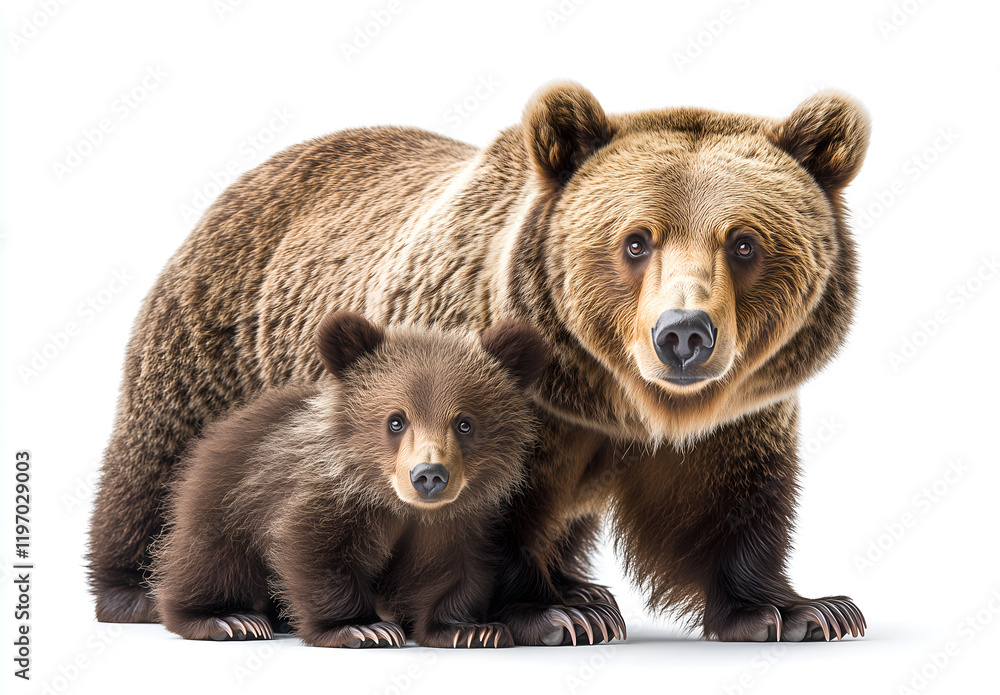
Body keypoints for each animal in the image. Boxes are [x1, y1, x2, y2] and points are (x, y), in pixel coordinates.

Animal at [150, 311, 557, 648]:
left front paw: (471, 629)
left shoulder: (456, 522)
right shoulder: (326, 499)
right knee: (212, 559)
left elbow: (454, 570)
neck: (397, 504)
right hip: (226, 496)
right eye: (396, 420)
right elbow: (318, 554)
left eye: (464, 423)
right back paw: (229, 619)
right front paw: (361, 627)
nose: (429, 475)